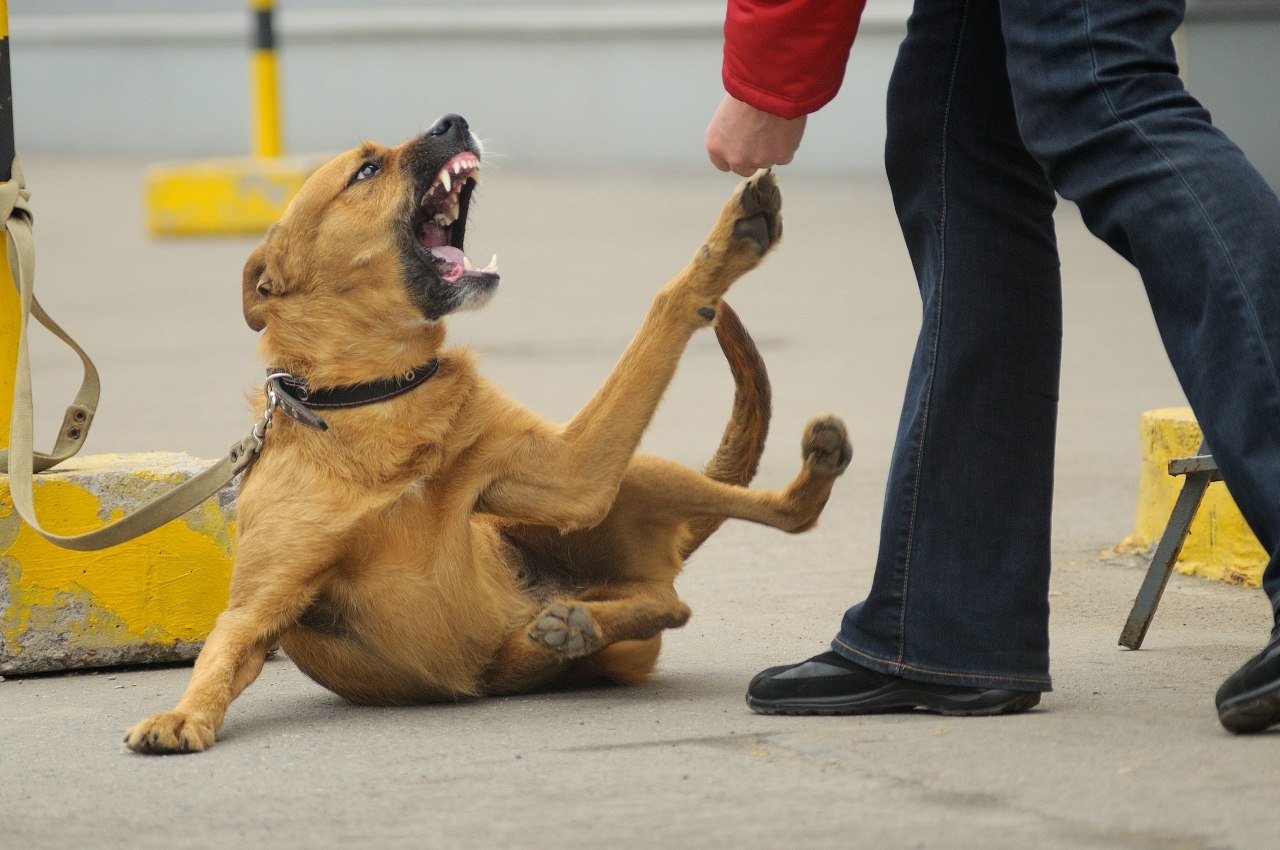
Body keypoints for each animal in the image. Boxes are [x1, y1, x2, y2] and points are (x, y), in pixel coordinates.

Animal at [122, 114, 849, 757]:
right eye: (366, 169)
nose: (454, 120)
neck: (379, 396)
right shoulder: (259, 606)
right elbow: (218, 660)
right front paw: (182, 713)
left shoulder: (570, 472)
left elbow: (667, 304)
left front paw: (726, 246)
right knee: (669, 601)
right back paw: (575, 624)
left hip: (632, 475)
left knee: (768, 527)